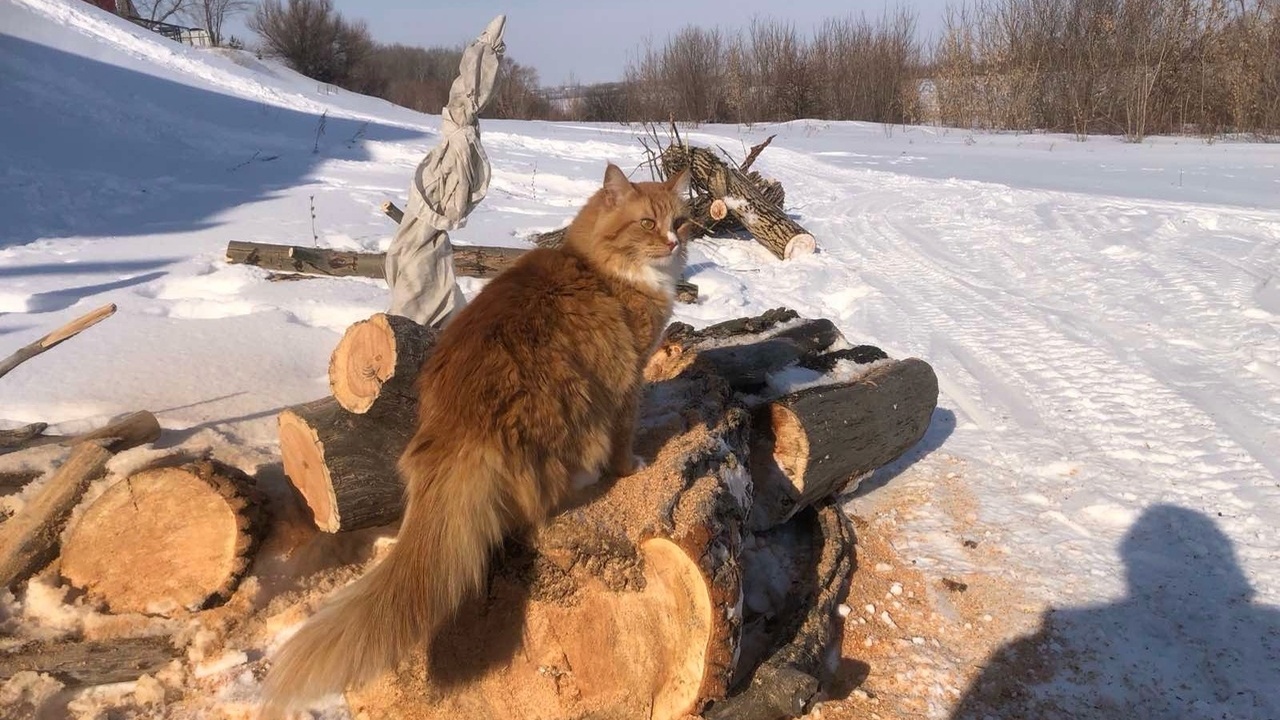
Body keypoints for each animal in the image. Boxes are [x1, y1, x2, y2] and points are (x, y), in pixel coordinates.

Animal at [261, 159, 696, 707]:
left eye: (680, 221)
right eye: (647, 224)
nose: (674, 243)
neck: (598, 268)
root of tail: (456, 429)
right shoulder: (628, 378)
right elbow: (625, 438)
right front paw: (629, 466)